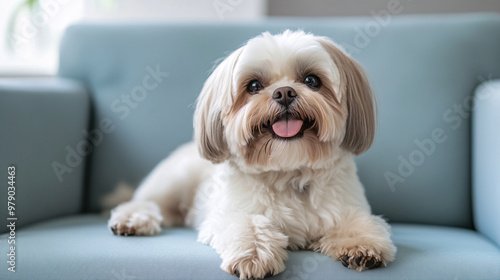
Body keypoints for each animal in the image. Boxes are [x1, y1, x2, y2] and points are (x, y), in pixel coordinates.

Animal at [108, 29, 394, 278]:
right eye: (254, 85)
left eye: (312, 80)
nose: (284, 92)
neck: (289, 172)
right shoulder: (224, 216)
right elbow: (249, 224)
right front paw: (254, 255)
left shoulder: (344, 206)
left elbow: (356, 222)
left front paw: (362, 244)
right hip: (174, 180)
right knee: (146, 202)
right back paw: (132, 219)